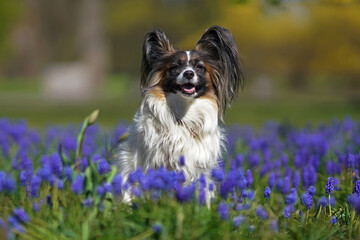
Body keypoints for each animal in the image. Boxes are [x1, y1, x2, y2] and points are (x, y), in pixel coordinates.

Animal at [114, 25, 243, 202]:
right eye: (175, 67)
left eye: (199, 67)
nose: (188, 73)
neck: (185, 113)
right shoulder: (156, 161)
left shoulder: (198, 164)